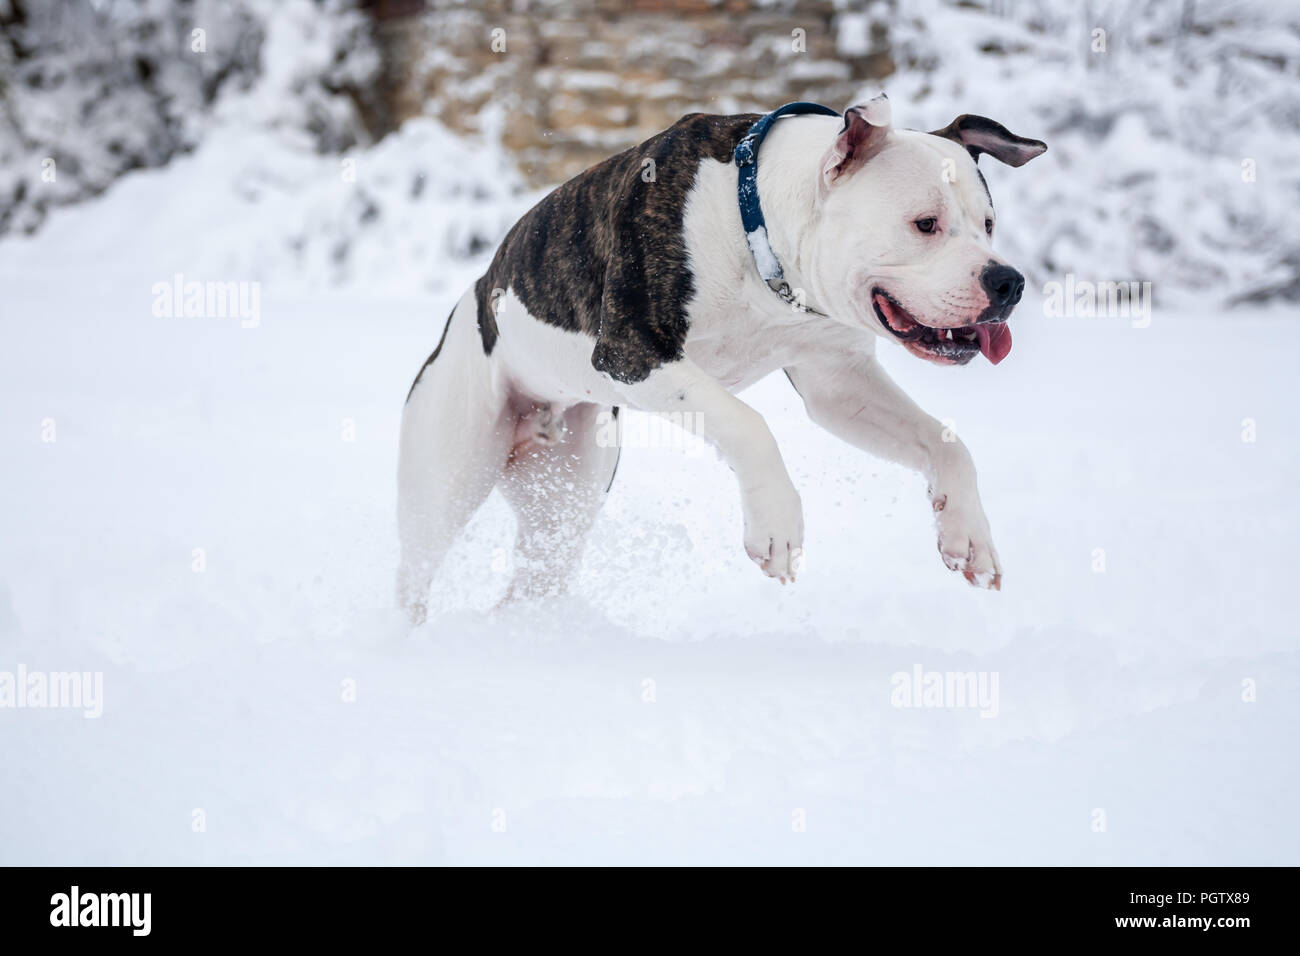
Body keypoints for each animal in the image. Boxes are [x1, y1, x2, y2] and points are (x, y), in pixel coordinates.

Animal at [392, 93, 1045, 624]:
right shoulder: (633, 351)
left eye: (988, 224)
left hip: (569, 492)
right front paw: (777, 526)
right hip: (448, 474)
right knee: (416, 574)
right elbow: (747, 424)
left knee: (536, 572)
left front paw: (968, 535)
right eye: (925, 224)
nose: (1007, 281)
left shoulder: (838, 383)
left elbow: (947, 444)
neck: (756, 229)